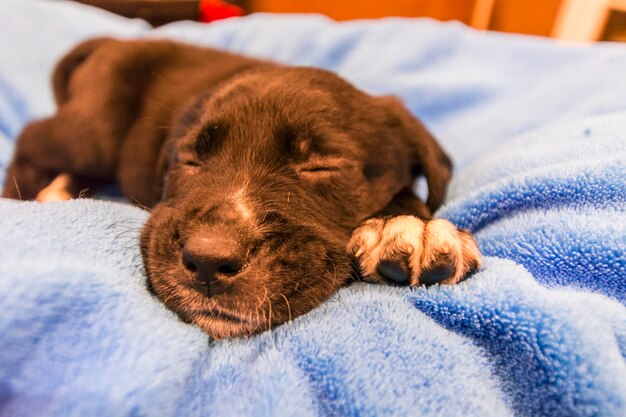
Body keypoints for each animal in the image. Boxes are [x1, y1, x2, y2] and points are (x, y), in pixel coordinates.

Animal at [1, 38, 478, 338]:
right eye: (188, 160)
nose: (209, 261)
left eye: (322, 165)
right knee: (31, 139)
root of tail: (113, 43)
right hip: (91, 131)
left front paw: (411, 224)